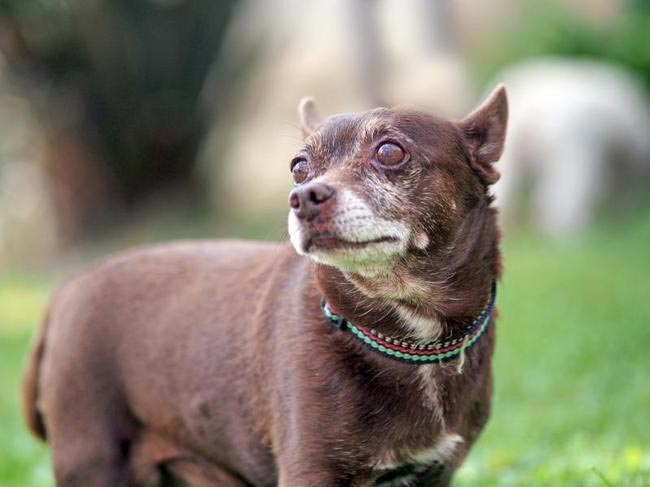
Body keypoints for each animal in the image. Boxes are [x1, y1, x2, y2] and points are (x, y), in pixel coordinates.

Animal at [21, 86, 506, 486]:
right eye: (299, 167)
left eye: (390, 152)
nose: (304, 196)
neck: (411, 338)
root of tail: (65, 291)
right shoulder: (311, 471)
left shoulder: (433, 473)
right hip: (94, 461)